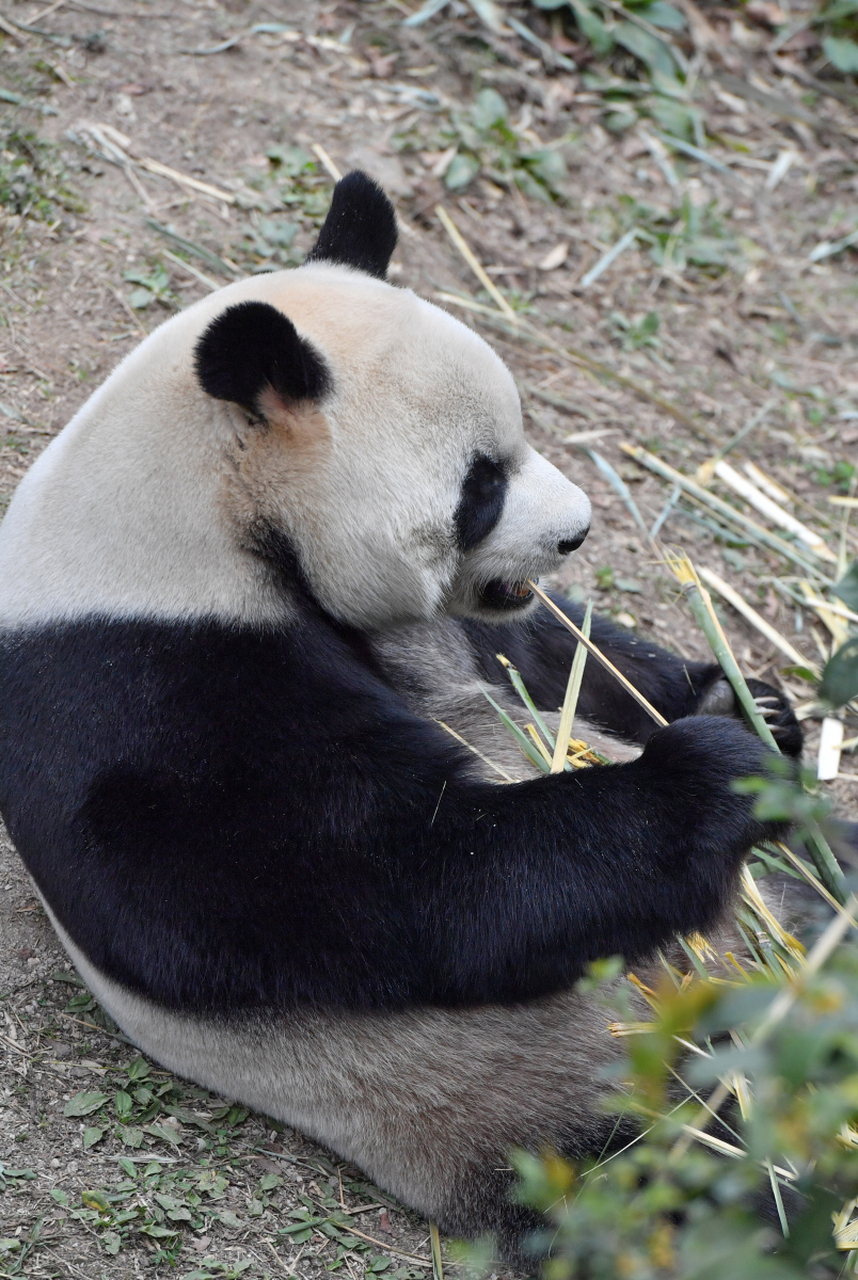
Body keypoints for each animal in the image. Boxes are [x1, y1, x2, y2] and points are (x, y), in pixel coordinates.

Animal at [0, 175, 809, 1264]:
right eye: (481, 484)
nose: (578, 530)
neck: (194, 522)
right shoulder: (142, 696)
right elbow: (409, 884)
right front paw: (711, 772)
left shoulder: (445, 629)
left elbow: (556, 655)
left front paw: (747, 705)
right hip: (577, 1108)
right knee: (701, 1188)